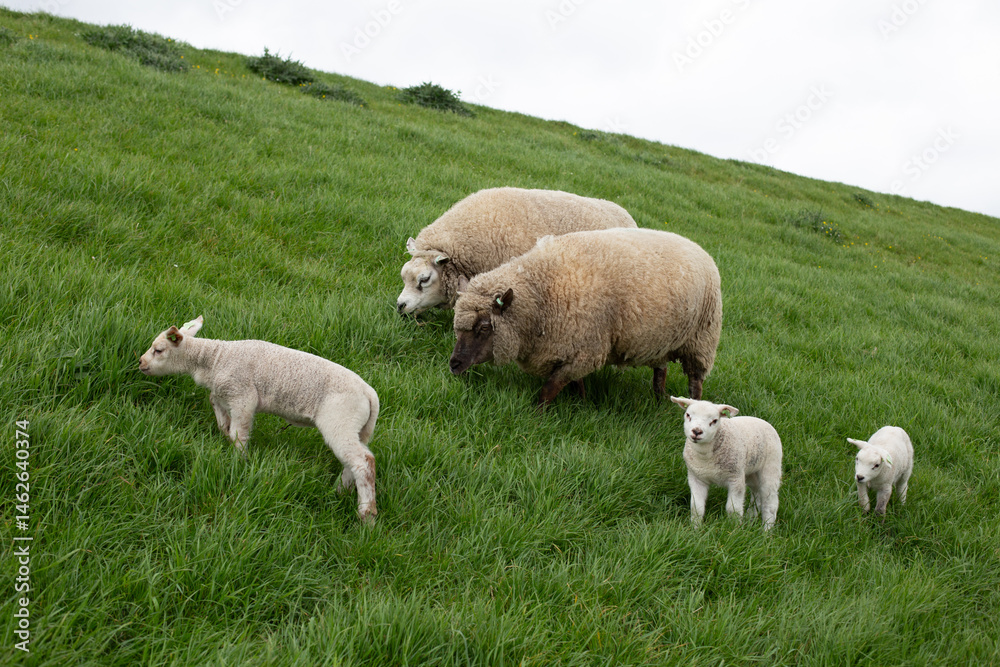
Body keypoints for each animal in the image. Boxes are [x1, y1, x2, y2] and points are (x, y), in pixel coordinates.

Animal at [139, 316, 380, 522]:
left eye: (158, 350)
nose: (140, 362)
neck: (214, 359)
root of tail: (370, 394)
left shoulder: (243, 397)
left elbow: (239, 435)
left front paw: (238, 462)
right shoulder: (224, 393)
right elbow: (217, 409)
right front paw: (225, 431)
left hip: (339, 420)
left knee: (364, 461)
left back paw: (366, 514)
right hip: (358, 428)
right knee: (354, 461)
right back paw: (339, 492)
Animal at [449, 227, 722, 405]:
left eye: (485, 327)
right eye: (456, 328)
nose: (454, 365)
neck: (543, 293)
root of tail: (697, 247)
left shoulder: (585, 350)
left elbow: (550, 389)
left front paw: (537, 413)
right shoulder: (571, 348)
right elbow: (574, 383)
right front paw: (580, 404)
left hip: (702, 339)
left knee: (696, 381)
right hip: (661, 340)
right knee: (661, 369)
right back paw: (659, 397)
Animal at [669, 397, 783, 530]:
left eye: (714, 420)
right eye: (688, 415)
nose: (697, 431)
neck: (706, 458)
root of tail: (763, 421)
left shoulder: (735, 478)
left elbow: (733, 509)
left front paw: (734, 528)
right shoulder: (696, 478)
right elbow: (697, 508)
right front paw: (695, 529)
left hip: (771, 465)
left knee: (770, 503)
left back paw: (766, 531)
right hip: (751, 471)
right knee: (756, 495)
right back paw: (750, 518)